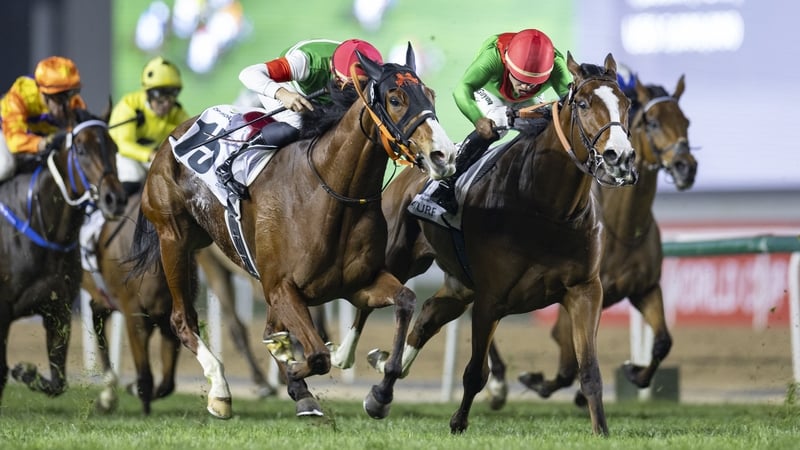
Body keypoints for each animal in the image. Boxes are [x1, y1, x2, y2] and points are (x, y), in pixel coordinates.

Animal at [0, 109, 126, 407]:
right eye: (80, 149)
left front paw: (24, 371)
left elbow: (59, 382)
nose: (115, 199)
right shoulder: (2, 311)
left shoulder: (58, 308)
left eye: (114, 147)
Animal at [128, 45, 456, 419]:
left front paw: (379, 393)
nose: (444, 154)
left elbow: (405, 301)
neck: (331, 193)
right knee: (183, 319)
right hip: (175, 239)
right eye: (396, 98)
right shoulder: (283, 288)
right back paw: (221, 390)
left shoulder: (357, 284)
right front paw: (293, 373)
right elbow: (317, 355)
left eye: (430, 94)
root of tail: (175, 135)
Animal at [363, 52, 636, 435]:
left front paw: (601, 431)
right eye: (583, 103)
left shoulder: (585, 290)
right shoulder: (490, 298)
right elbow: (475, 372)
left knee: (428, 316)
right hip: (397, 260)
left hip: (459, 286)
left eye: (626, 104)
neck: (545, 207)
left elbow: (589, 371)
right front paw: (459, 421)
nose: (620, 157)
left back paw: (386, 373)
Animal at [516, 74, 696, 404]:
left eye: (685, 121)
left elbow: (663, 341)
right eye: (653, 122)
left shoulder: (645, 288)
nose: (685, 167)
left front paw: (634, 373)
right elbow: (567, 360)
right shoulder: (576, 293)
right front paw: (540, 382)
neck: (623, 230)